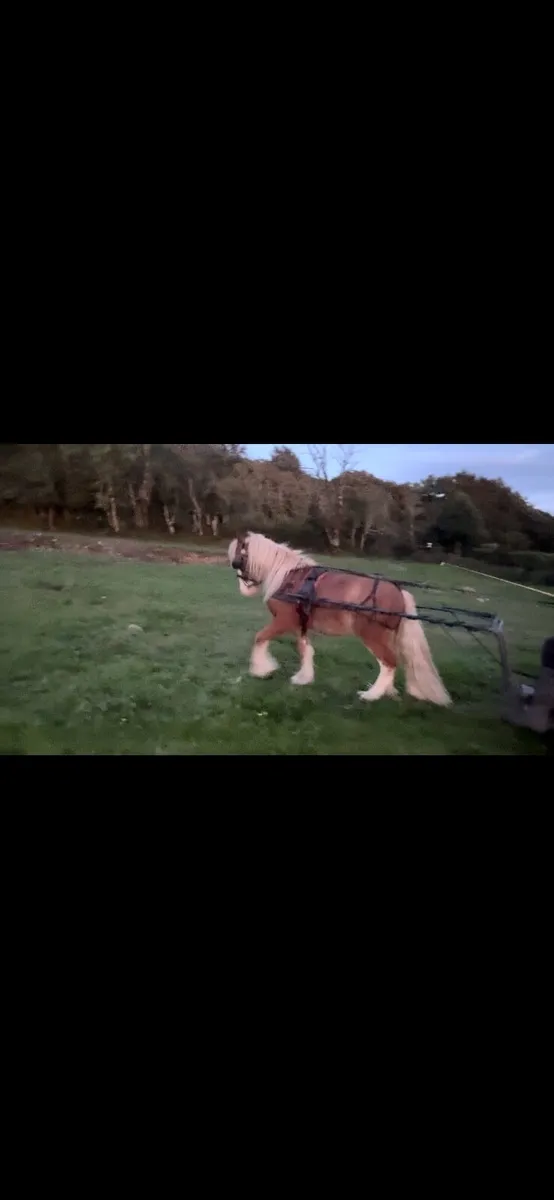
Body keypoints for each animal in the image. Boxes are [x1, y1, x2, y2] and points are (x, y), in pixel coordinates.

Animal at [229, 532, 451, 706]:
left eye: (239, 556)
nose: (243, 582)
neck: (289, 578)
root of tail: (399, 592)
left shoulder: (284, 621)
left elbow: (260, 637)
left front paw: (261, 669)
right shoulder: (300, 625)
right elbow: (305, 649)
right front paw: (303, 678)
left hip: (371, 635)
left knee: (388, 663)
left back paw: (371, 695)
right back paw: (386, 691)